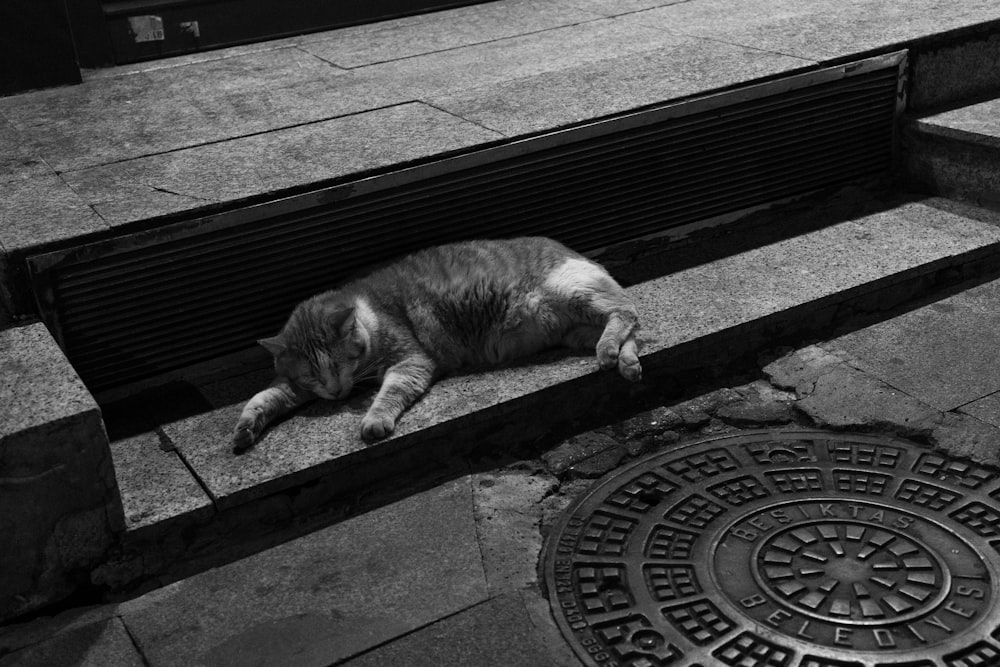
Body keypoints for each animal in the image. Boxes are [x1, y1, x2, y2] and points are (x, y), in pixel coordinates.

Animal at [230, 236, 640, 454]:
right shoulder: (294, 386)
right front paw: (246, 427)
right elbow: (265, 397)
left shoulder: (411, 361)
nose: (334, 393)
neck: (368, 308)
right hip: (576, 329)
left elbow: (390, 393)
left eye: (337, 364)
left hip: (574, 292)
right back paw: (625, 363)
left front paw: (374, 421)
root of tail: (573, 250)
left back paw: (611, 353)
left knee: (628, 311)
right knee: (629, 329)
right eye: (313, 375)